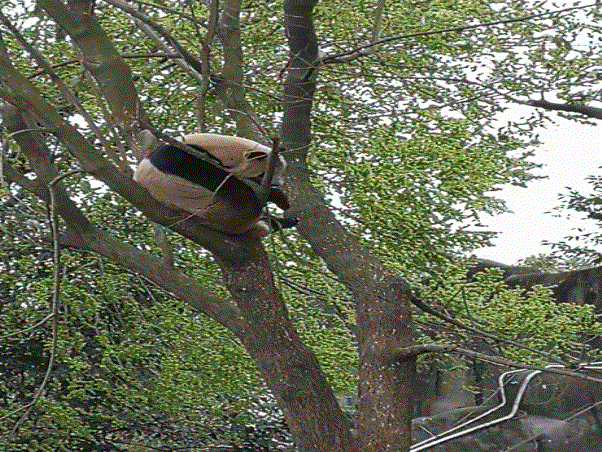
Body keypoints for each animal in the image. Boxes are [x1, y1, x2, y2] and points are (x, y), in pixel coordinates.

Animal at [134, 132, 298, 237]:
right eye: (263, 175)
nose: (279, 184)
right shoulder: (180, 154)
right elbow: (212, 175)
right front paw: (276, 196)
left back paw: (285, 221)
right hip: (211, 206)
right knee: (244, 198)